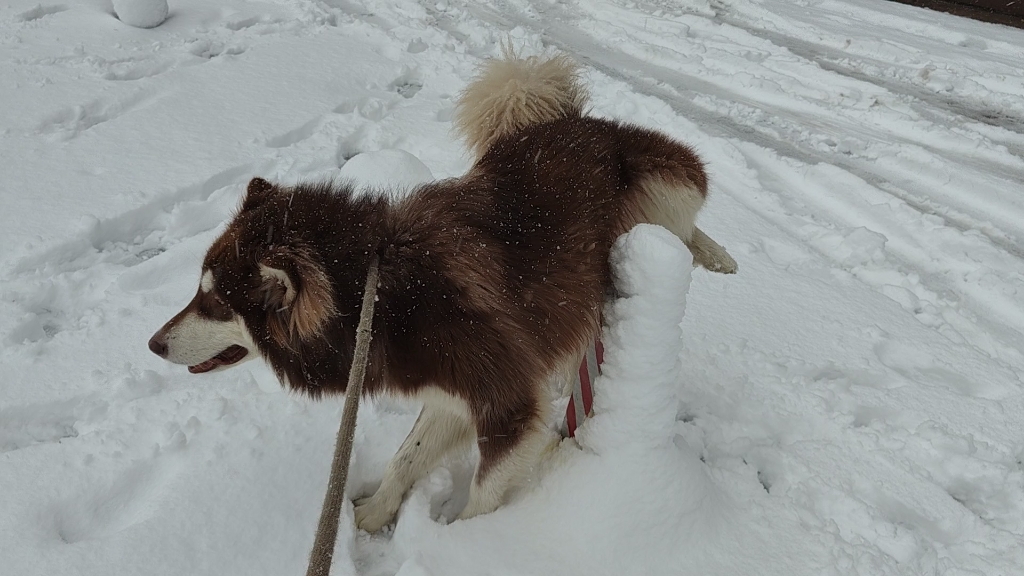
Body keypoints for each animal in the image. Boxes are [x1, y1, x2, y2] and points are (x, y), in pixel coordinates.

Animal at [146, 50, 737, 528]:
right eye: (198, 292)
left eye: (214, 302)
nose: (153, 344)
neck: (380, 294)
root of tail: (571, 122)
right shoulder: (451, 391)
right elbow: (407, 456)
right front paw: (373, 516)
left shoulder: (506, 400)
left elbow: (482, 494)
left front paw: (464, 542)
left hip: (663, 187)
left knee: (683, 229)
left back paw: (718, 257)